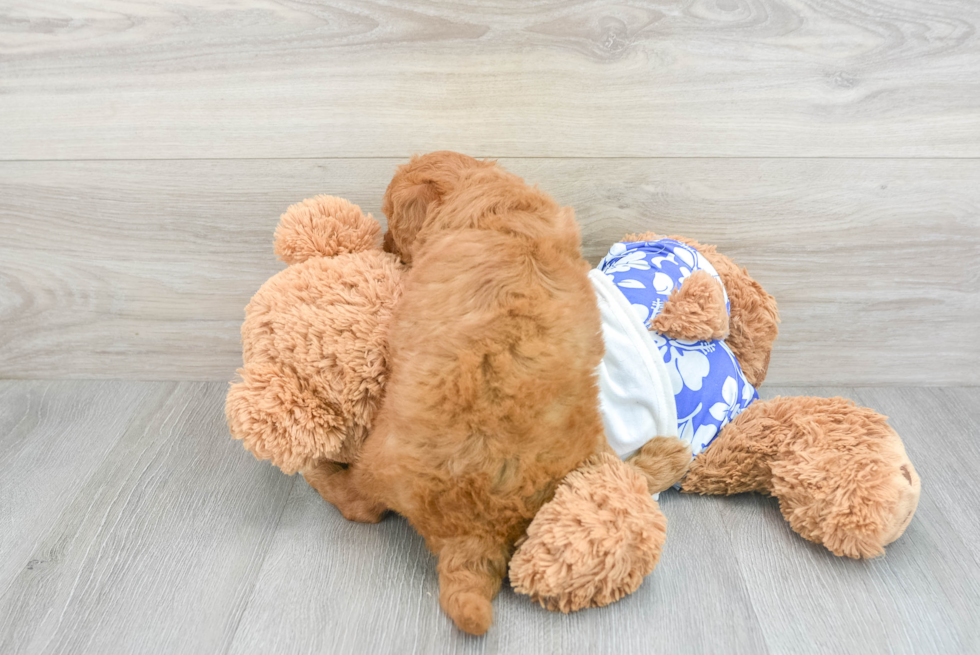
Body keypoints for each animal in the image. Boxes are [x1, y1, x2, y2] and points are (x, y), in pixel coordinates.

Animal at [312, 154, 604, 636]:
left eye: (390, 218)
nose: (386, 245)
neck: (503, 215)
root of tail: (477, 536)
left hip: (378, 463)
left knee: (360, 505)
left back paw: (318, 471)